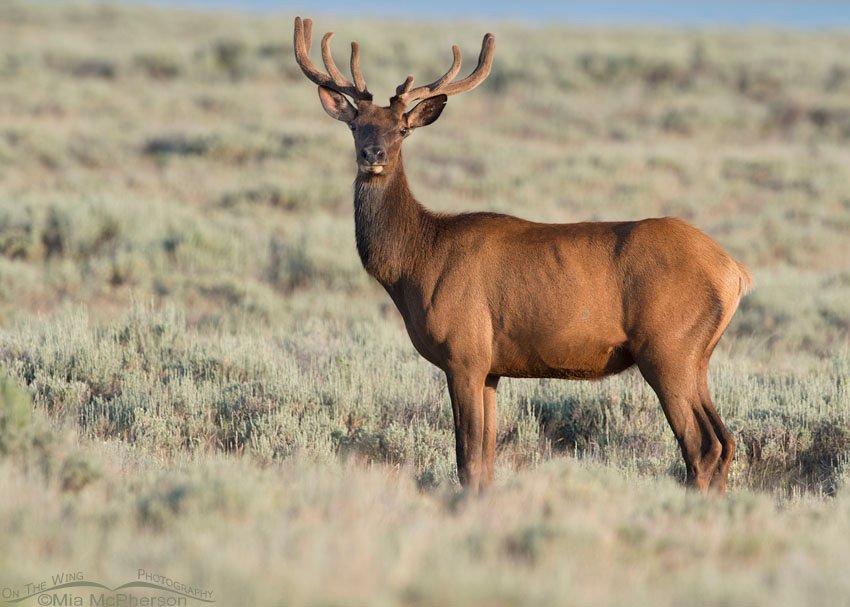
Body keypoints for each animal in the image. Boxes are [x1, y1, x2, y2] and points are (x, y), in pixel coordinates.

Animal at [292, 17, 753, 495]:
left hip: (668, 346)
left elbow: (467, 459)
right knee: (725, 441)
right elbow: (486, 460)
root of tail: (735, 272)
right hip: (696, 355)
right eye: (355, 125)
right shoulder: (491, 369)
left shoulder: (464, 352)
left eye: (402, 128)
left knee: (702, 445)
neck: (415, 265)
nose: (373, 155)